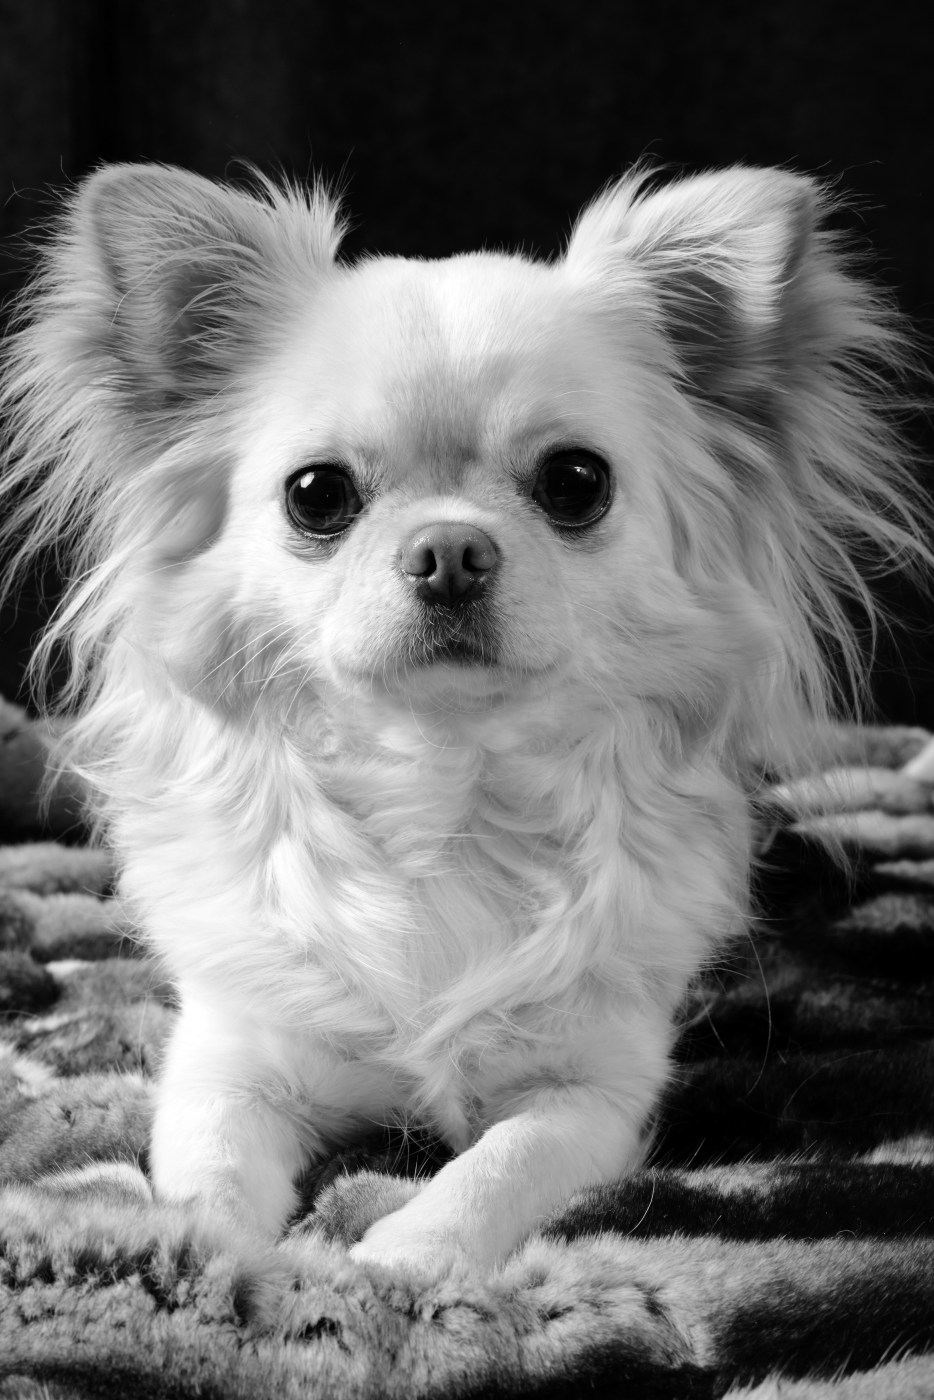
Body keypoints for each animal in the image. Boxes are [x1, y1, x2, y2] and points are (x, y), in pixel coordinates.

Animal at [0, 162, 927, 1273]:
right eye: (316, 495)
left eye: (576, 482)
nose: (450, 548)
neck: (445, 792)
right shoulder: (230, 1061)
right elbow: (212, 1174)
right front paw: (210, 1256)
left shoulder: (596, 1091)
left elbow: (497, 1168)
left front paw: (398, 1259)